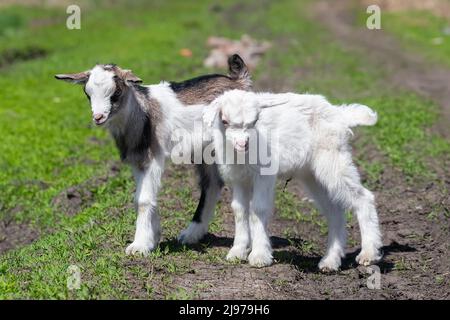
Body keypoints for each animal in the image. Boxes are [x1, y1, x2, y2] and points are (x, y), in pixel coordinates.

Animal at [204, 89, 384, 272]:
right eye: (224, 121)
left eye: (254, 121)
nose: (243, 144)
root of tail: (339, 114)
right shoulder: (238, 178)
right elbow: (239, 210)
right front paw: (237, 252)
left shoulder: (264, 173)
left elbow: (258, 209)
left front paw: (260, 256)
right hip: (312, 175)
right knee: (335, 211)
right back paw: (330, 261)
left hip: (333, 159)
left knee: (363, 197)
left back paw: (368, 254)